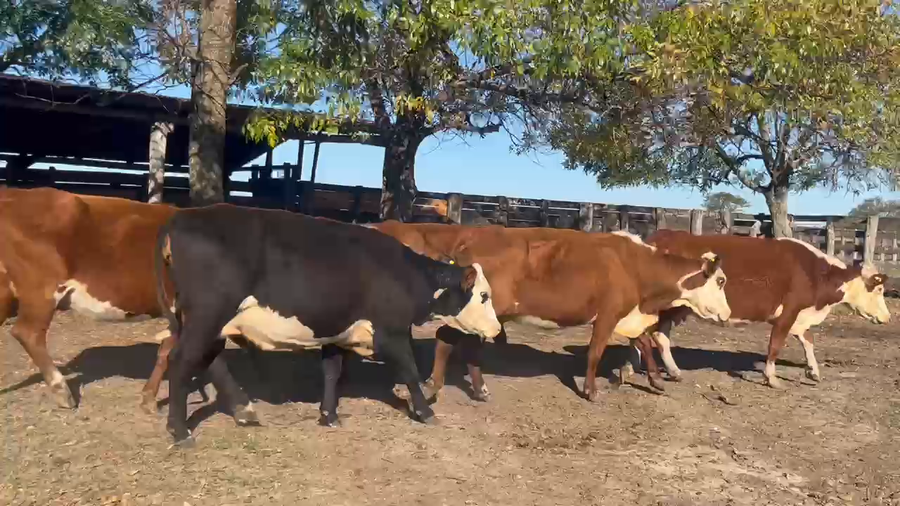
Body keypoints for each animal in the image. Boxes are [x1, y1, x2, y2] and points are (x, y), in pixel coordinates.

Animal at [154, 204, 503, 446]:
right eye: (483, 295)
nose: (497, 329)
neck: (403, 273)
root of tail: (183, 216)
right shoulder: (392, 333)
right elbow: (410, 371)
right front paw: (425, 412)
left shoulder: (337, 330)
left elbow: (332, 371)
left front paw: (329, 415)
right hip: (207, 314)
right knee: (182, 360)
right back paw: (180, 430)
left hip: (206, 321)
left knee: (209, 360)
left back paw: (243, 410)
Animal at [369, 221, 733, 401]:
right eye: (721, 281)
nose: (727, 315)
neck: (636, 266)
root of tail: (469, 239)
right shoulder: (608, 314)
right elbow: (596, 352)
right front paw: (591, 391)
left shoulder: (627, 316)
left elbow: (643, 342)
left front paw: (655, 379)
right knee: (447, 337)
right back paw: (437, 384)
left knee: (462, 344)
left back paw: (476, 389)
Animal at [624, 229, 891, 388]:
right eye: (879, 290)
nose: (888, 317)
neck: (815, 272)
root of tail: (659, 236)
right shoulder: (788, 312)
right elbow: (775, 345)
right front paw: (771, 377)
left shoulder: (799, 317)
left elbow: (808, 341)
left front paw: (813, 371)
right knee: (652, 335)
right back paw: (659, 370)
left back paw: (637, 368)